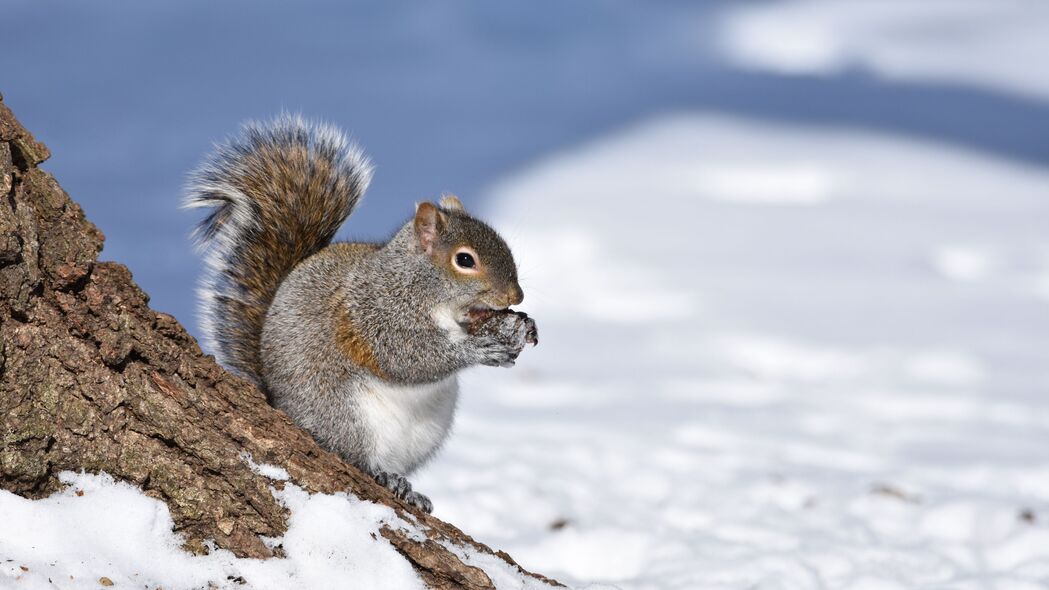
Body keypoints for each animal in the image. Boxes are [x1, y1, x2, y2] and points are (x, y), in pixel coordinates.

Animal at [183, 114, 537, 510]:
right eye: (464, 260)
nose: (517, 295)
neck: (417, 284)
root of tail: (277, 403)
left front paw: (519, 330)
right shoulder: (373, 313)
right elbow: (406, 357)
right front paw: (478, 349)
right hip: (343, 415)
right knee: (354, 456)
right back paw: (383, 474)